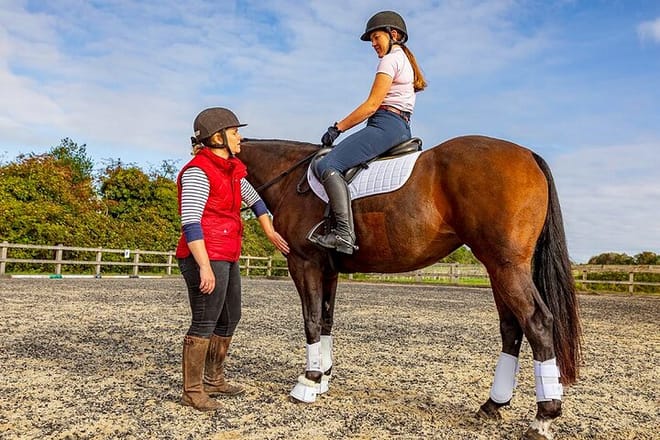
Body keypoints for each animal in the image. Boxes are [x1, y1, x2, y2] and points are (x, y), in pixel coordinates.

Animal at [239, 135, 581, 440]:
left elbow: (310, 320)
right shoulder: (328, 269)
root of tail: (528, 155)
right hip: (498, 269)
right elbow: (325, 321)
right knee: (511, 328)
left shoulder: (304, 262)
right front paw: (323, 378)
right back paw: (492, 405)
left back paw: (543, 418)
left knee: (537, 322)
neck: (288, 176)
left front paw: (308, 383)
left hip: (506, 266)